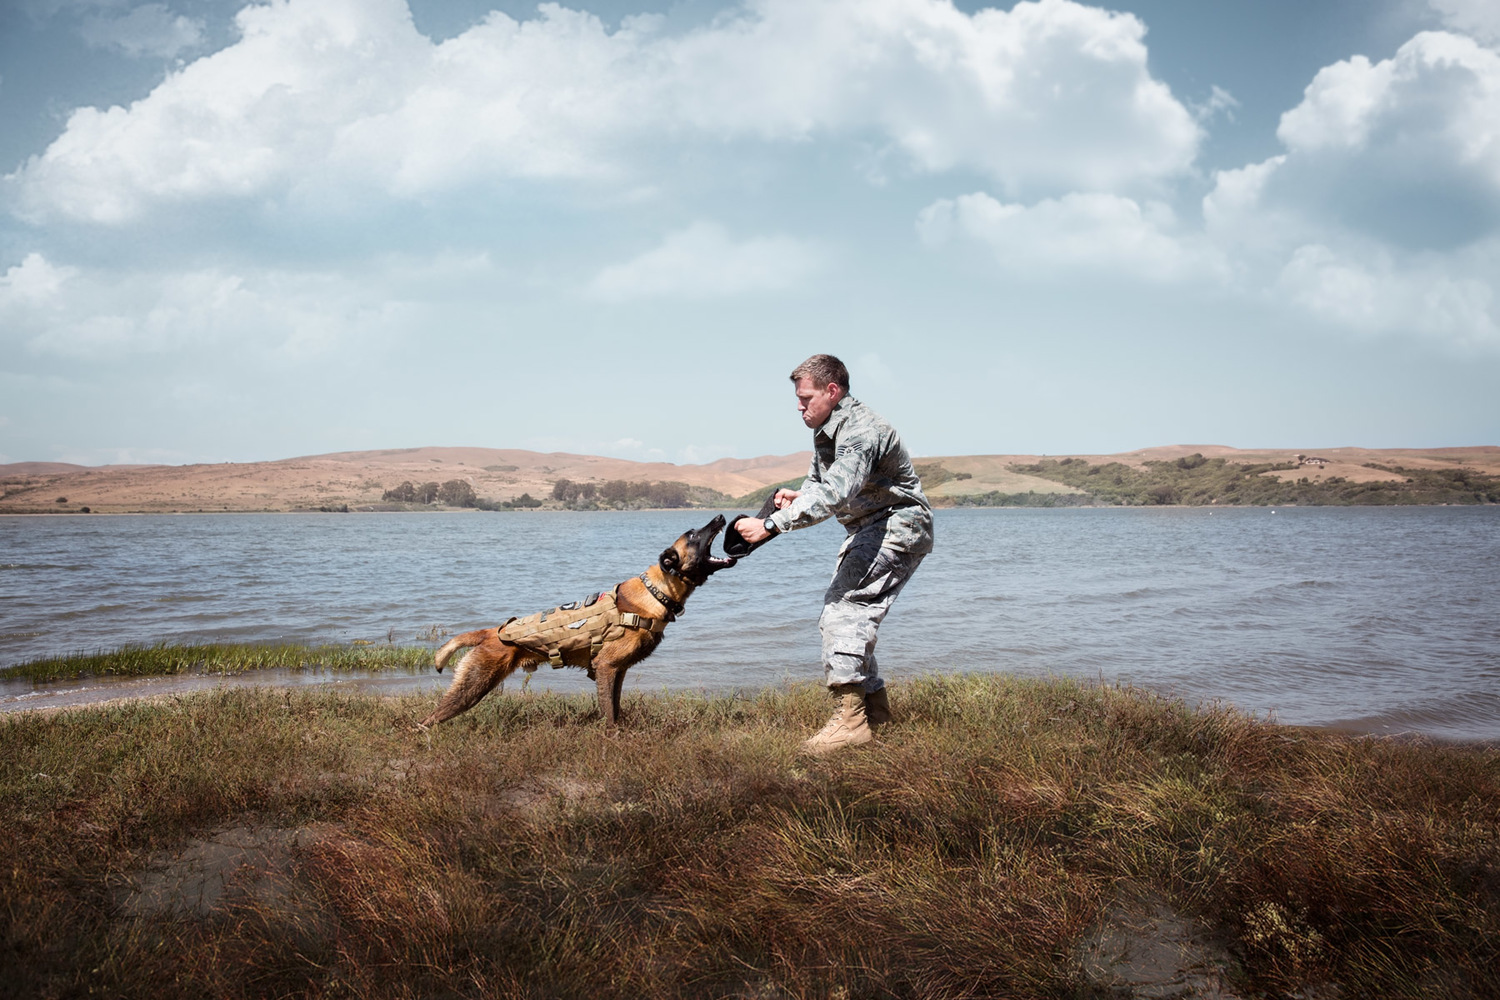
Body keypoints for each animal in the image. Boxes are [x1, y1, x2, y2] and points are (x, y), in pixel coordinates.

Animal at [420, 515, 735, 728]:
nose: (721, 517)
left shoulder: (616, 671)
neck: (656, 592)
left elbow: (615, 707)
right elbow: (609, 714)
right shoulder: (607, 667)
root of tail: (491, 633)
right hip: (472, 687)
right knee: (429, 719)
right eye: (692, 534)